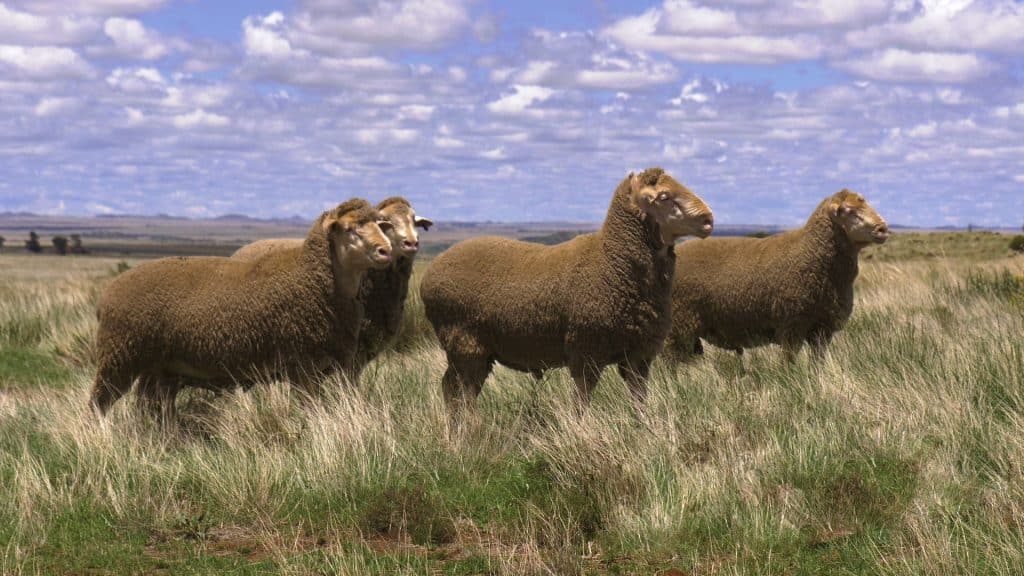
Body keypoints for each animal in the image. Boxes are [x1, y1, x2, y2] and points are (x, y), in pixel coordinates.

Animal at [90, 199, 393, 420]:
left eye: (379, 225)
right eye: (349, 228)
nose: (385, 250)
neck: (313, 278)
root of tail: (106, 295)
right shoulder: (302, 365)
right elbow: (312, 409)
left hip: (155, 367)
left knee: (147, 407)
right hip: (119, 357)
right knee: (98, 404)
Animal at [415, 167, 712, 407]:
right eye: (663, 196)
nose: (708, 220)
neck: (612, 260)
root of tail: (429, 274)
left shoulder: (639, 356)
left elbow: (639, 401)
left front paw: (643, 429)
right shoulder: (585, 351)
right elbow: (581, 403)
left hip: (470, 349)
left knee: (452, 390)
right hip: (465, 343)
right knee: (461, 395)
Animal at [663, 187, 888, 358]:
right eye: (848, 210)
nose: (883, 229)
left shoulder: (822, 330)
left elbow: (818, 364)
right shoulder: (791, 327)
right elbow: (789, 364)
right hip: (680, 324)